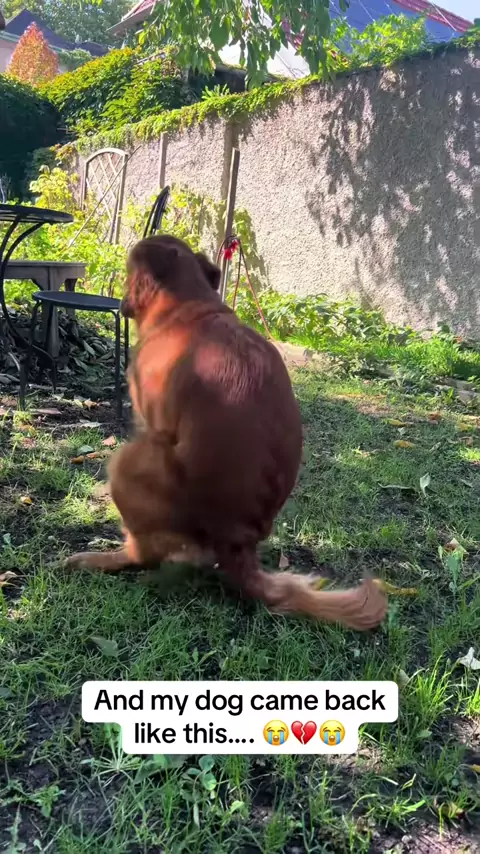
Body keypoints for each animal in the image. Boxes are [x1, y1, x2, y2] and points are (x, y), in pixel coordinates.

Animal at [66, 235, 387, 630]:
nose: (121, 299)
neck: (189, 306)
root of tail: (237, 543)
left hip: (131, 459)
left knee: (146, 553)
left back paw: (103, 558)